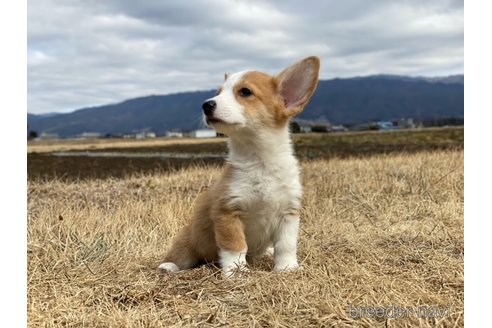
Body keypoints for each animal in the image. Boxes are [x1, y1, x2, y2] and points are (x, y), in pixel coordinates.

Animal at [157, 56, 320, 276]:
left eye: (245, 92)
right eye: (218, 92)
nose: (206, 105)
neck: (260, 161)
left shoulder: (289, 213)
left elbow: (286, 245)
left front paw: (287, 268)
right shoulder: (228, 212)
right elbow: (235, 246)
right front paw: (237, 272)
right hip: (188, 241)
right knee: (180, 255)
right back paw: (168, 266)